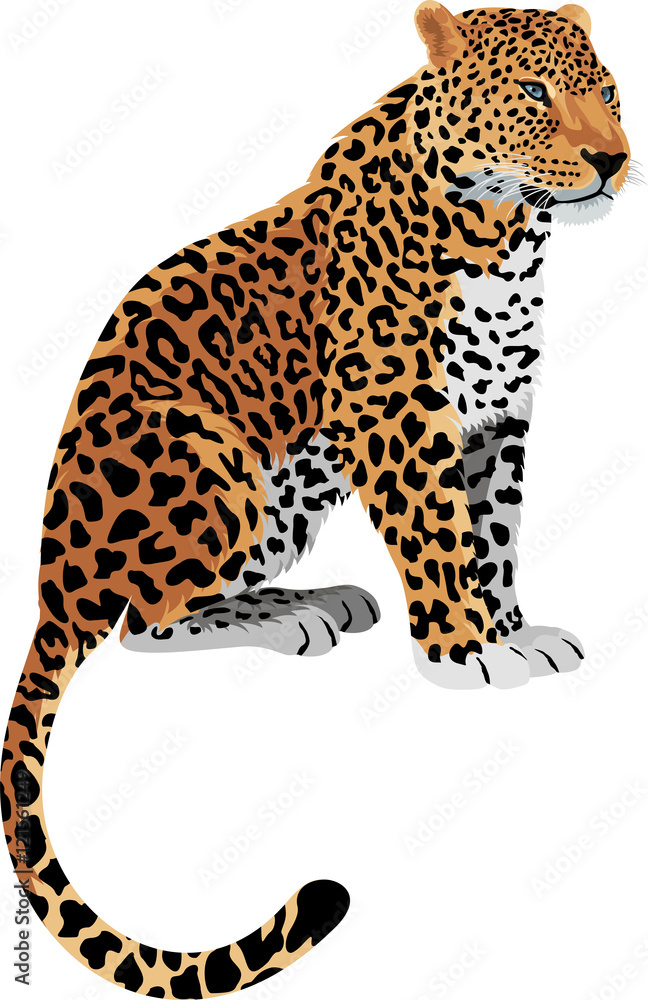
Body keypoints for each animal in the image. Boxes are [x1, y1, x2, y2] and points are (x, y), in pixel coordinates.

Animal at [2, 4, 633, 997]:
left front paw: (513, 631)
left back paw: (315, 599)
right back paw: (292, 618)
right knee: (146, 621)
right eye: (536, 93)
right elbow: (442, 537)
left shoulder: (497, 419)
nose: (614, 158)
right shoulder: (399, 411)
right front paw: (465, 655)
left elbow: (493, 535)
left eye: (608, 90)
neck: (510, 240)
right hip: (210, 451)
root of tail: (50, 590)